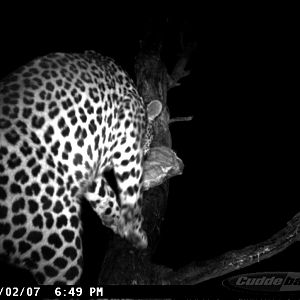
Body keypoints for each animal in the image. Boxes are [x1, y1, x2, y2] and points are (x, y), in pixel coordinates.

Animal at [0, 50, 149, 284]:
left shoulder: (85, 162)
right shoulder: (127, 134)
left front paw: (117, 221)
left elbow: (105, 196)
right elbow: (132, 189)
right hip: (58, 239)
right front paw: (135, 232)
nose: (148, 151)